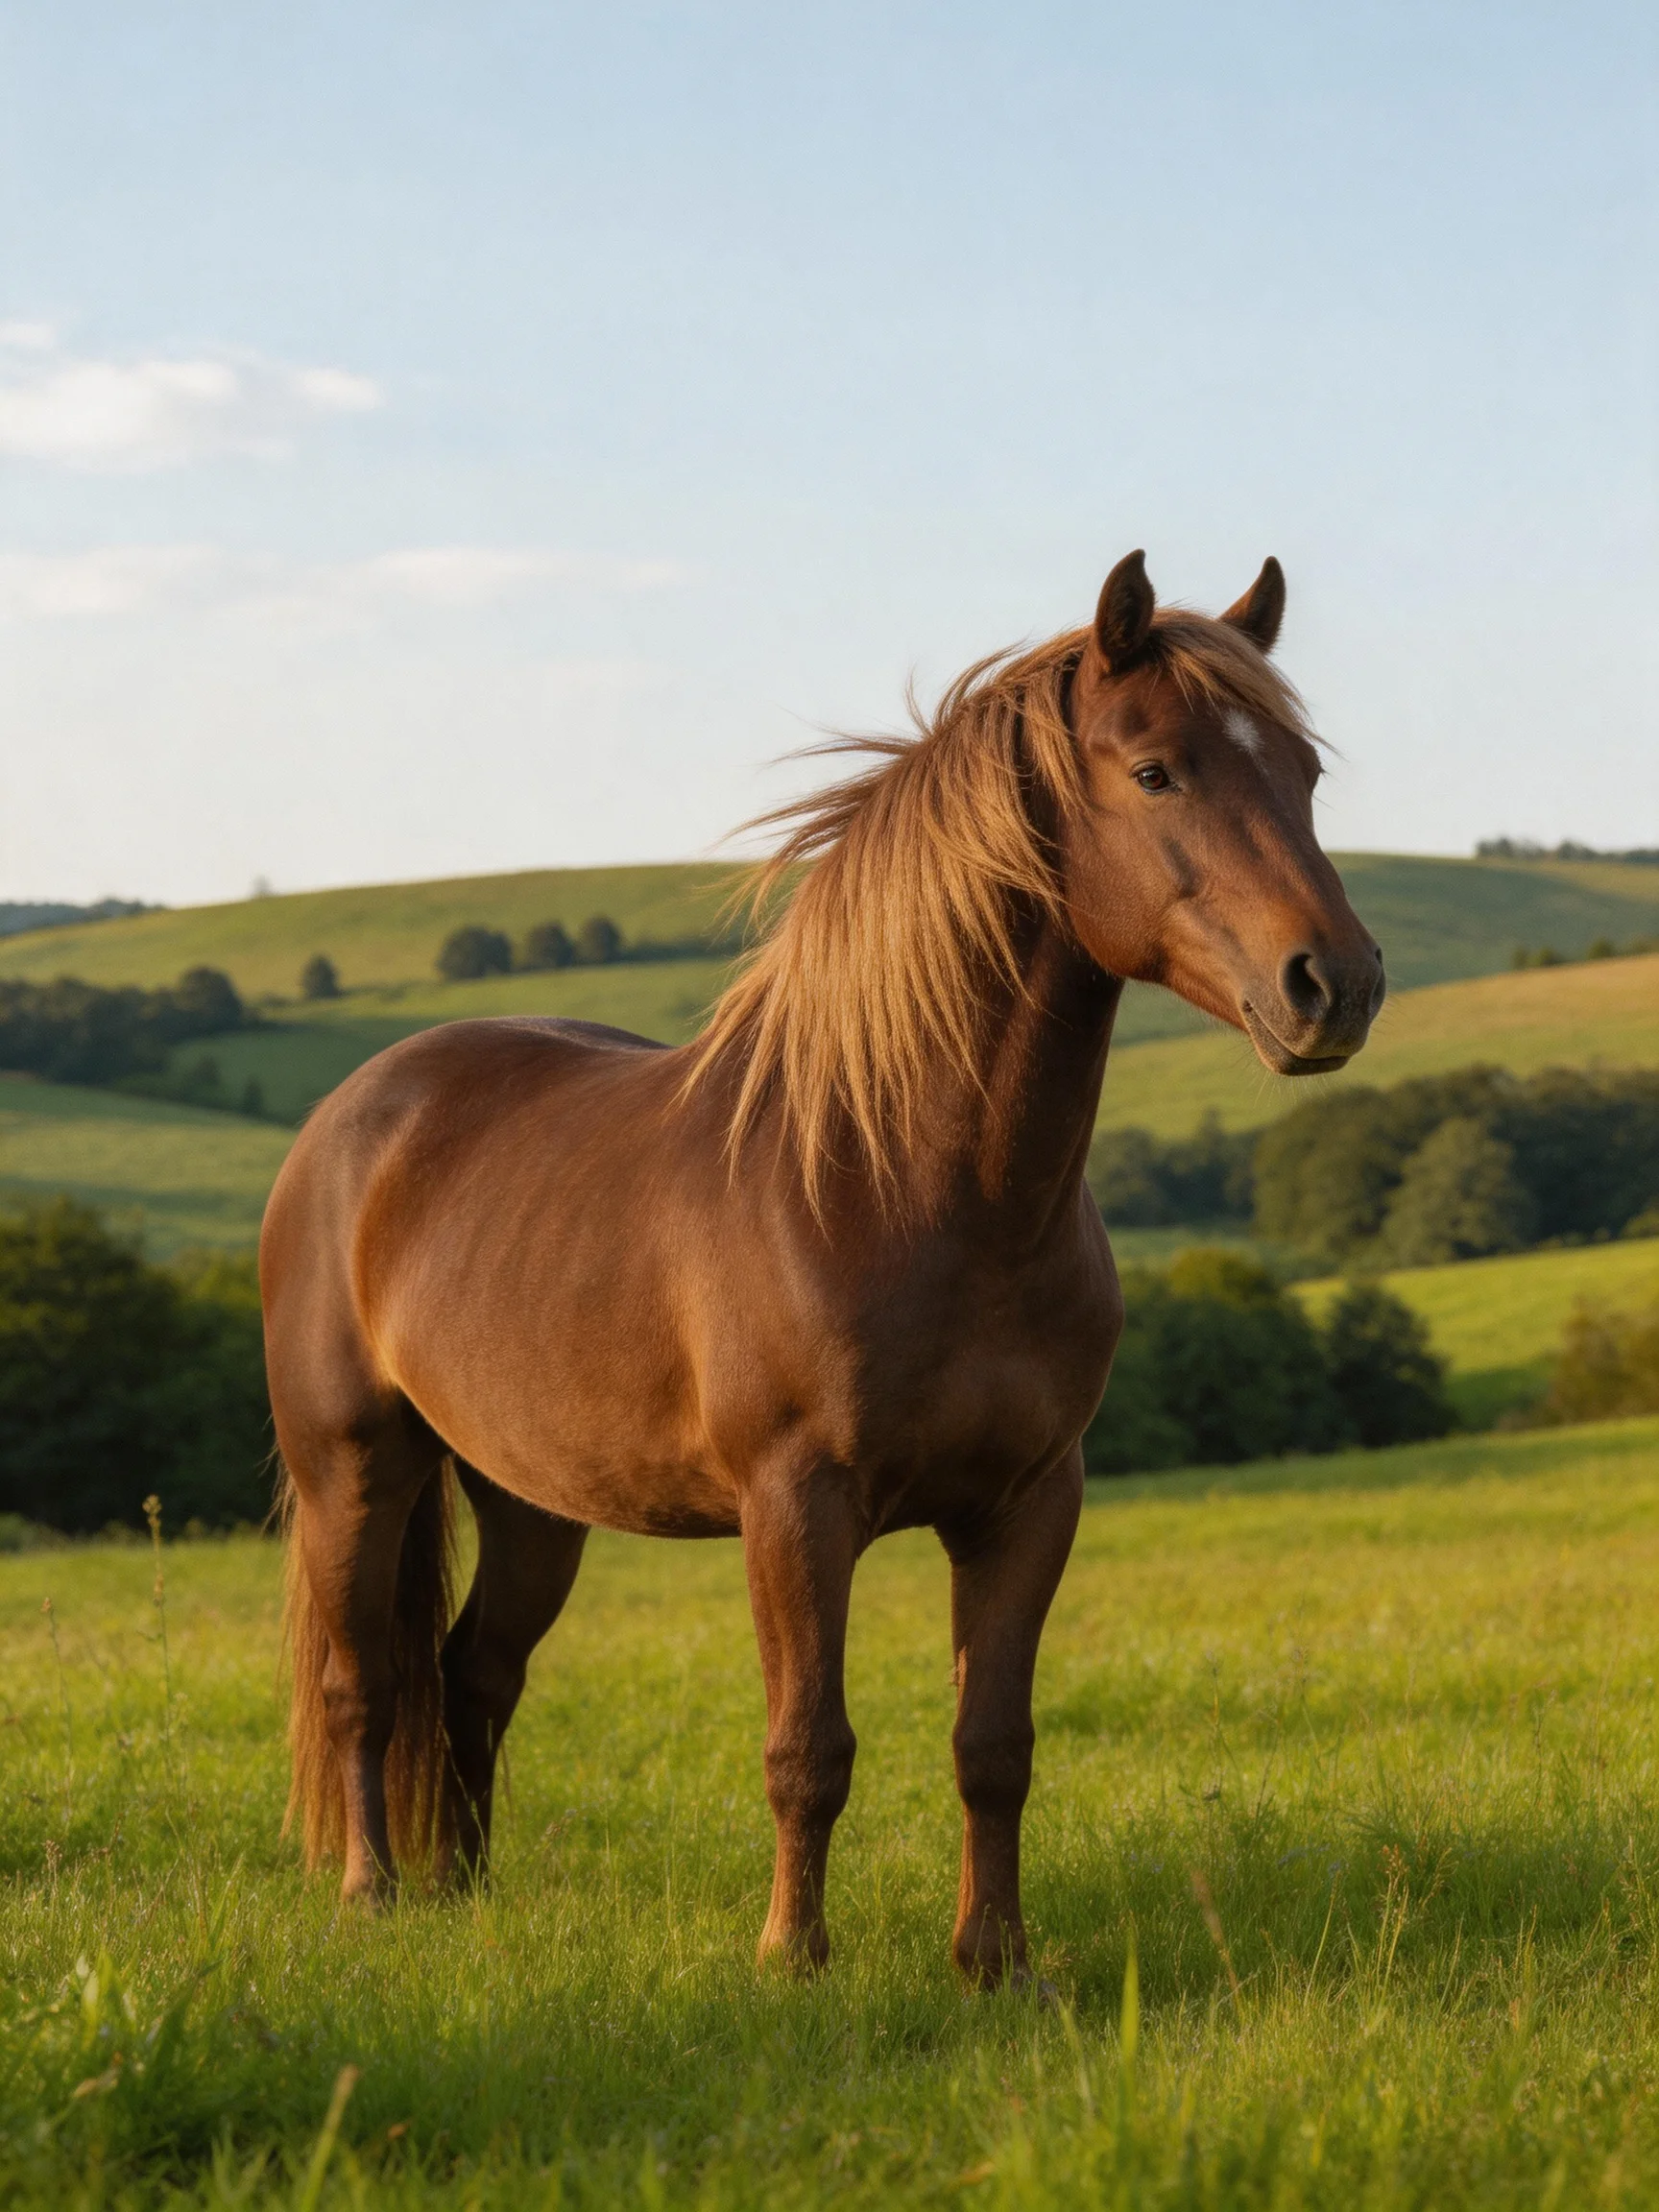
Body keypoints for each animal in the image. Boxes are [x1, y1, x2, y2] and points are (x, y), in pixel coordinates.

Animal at [264, 549, 1384, 1983]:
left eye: (1304, 772)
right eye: (1155, 772)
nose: (1334, 986)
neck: (911, 1189)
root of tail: (355, 1114)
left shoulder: (1029, 1505)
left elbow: (993, 1748)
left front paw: (995, 1963)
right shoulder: (798, 1506)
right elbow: (810, 1748)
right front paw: (791, 1960)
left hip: (530, 1503)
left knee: (472, 1674)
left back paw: (466, 1892)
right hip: (356, 1471)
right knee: (364, 1686)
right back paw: (373, 1895)